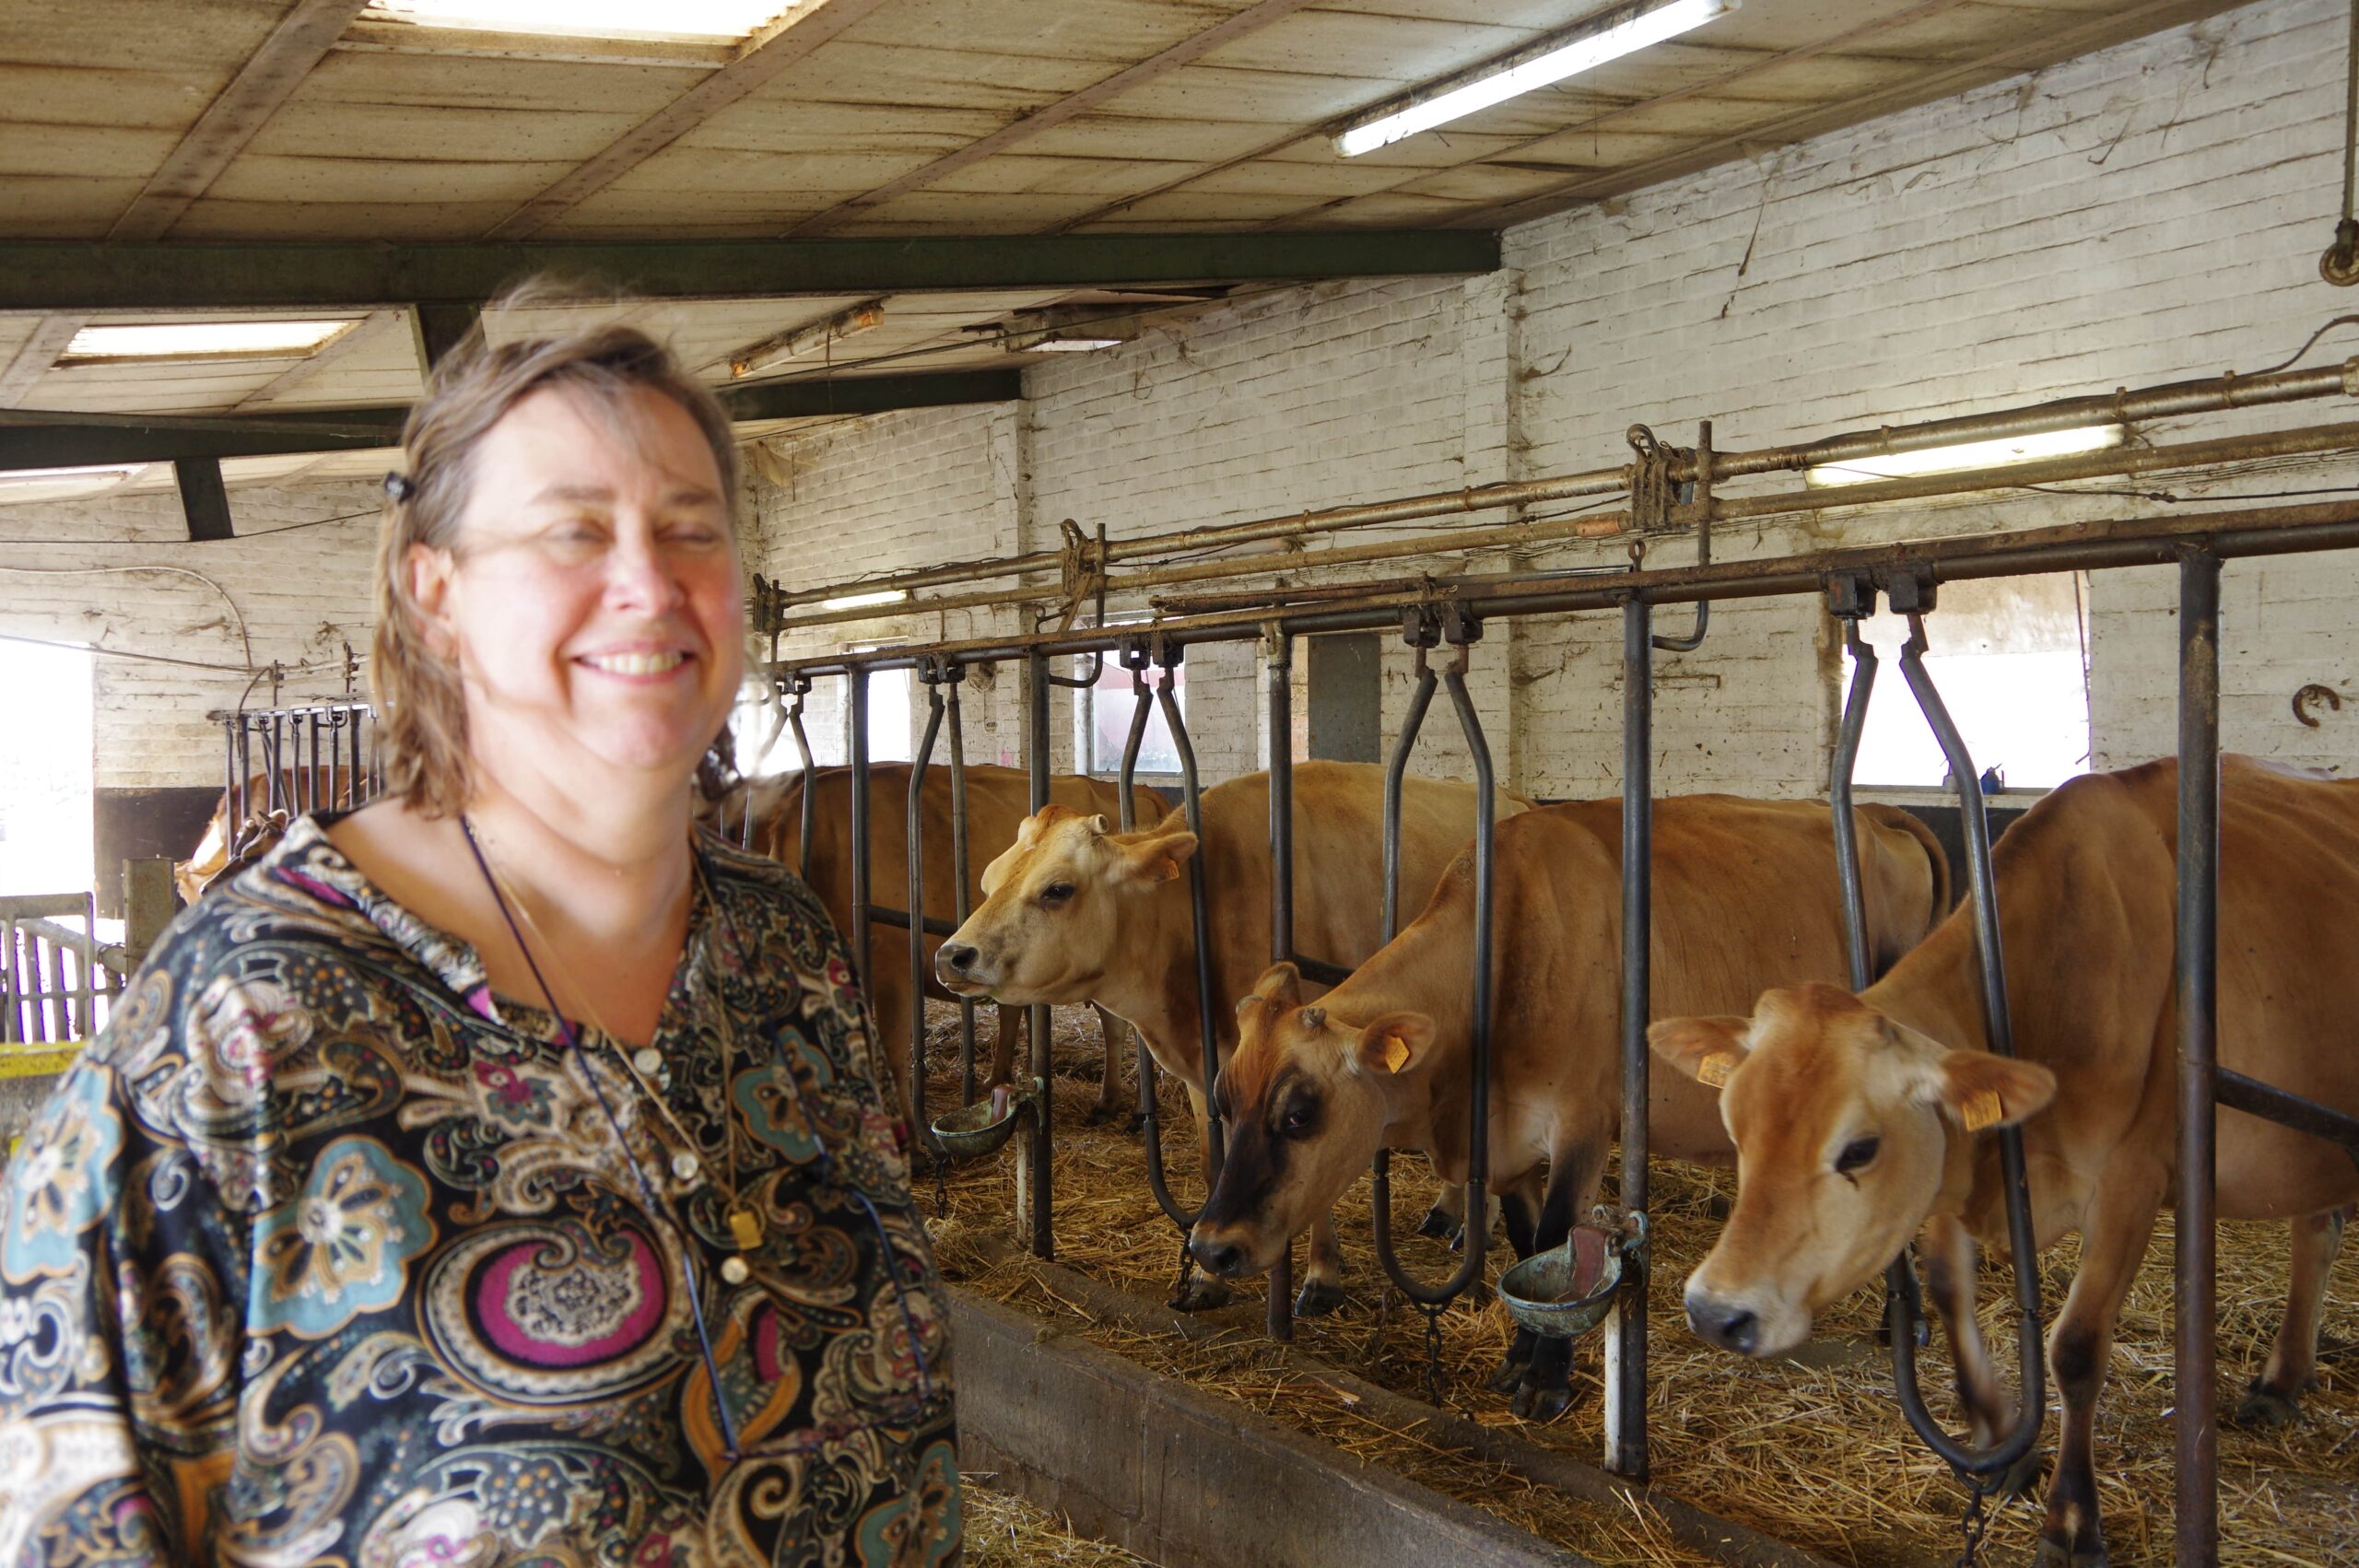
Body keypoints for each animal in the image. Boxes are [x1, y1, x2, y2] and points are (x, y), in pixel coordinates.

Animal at [929, 759, 1538, 1311]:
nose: (951, 955)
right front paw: (1207, 1279)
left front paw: (1321, 1278)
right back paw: (1449, 1211)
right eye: (988, 880)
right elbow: (1213, 1165)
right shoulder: (1206, 1073)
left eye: (1058, 889)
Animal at [1189, 797, 1943, 1405]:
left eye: (1299, 1113)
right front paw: (1519, 1359)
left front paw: (1545, 1381)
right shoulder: (1507, 1145)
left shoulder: (1583, 1120)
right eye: (1223, 1100)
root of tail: (1876, 813)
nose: (1210, 1247)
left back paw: (1904, 1323)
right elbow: (1531, 1250)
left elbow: (1564, 1243)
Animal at [1651, 755, 2359, 1556]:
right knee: (2319, 1226)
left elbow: (2077, 1348)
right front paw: (2000, 1446)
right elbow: (1950, 1296)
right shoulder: (1954, 1168)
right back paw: (2280, 1382)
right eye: (1736, 1127)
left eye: (1859, 1148)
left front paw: (2071, 1518)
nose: (1715, 1313)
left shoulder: (2133, 1178)